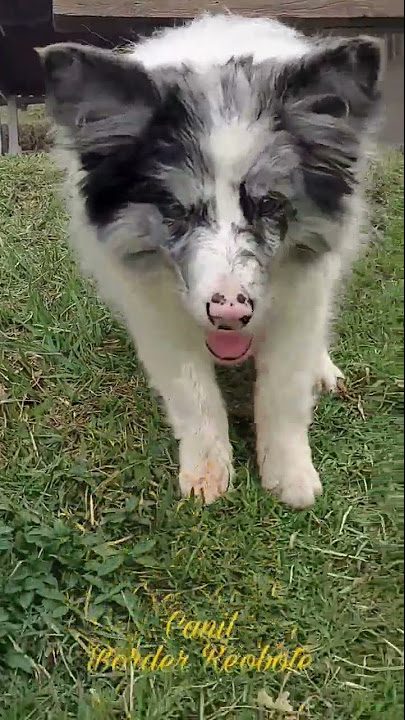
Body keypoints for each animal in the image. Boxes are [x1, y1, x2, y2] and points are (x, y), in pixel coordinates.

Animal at [39, 16, 384, 510]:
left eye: (269, 203)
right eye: (175, 209)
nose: (230, 313)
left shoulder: (301, 296)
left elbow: (283, 390)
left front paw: (290, 476)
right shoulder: (156, 310)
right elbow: (192, 394)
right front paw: (206, 475)